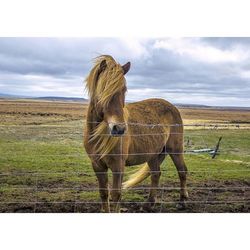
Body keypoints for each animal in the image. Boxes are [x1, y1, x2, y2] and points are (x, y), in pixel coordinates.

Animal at [83, 55, 188, 212]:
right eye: (103, 89)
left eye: (124, 90)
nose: (119, 129)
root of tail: (173, 107)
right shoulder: (97, 165)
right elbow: (103, 193)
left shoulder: (118, 166)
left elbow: (116, 195)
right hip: (154, 154)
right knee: (156, 174)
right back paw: (149, 204)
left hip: (175, 150)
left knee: (182, 171)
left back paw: (182, 202)